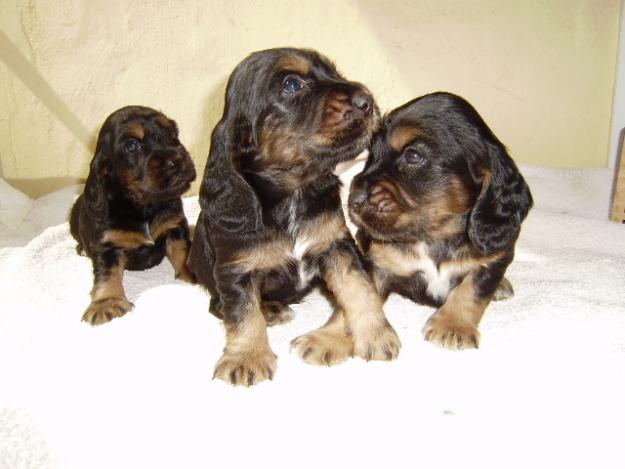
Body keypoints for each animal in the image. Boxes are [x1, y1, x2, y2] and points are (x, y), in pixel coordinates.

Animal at [70, 106, 195, 326]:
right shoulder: (108, 246)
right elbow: (107, 274)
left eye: (173, 133)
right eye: (132, 145)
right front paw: (106, 302)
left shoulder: (174, 227)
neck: (143, 205)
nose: (177, 162)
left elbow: (183, 251)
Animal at [186, 46, 400, 384]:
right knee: (217, 305)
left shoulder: (337, 245)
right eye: (291, 84)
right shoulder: (235, 270)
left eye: (335, 72)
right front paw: (246, 357)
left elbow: (359, 288)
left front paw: (376, 334)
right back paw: (270, 309)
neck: (293, 193)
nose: (366, 100)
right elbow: (243, 314)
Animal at [348, 92, 532, 348]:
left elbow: (471, 290)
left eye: (413, 155)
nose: (352, 200)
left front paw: (452, 326)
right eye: (371, 155)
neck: (433, 236)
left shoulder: (496, 258)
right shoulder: (380, 263)